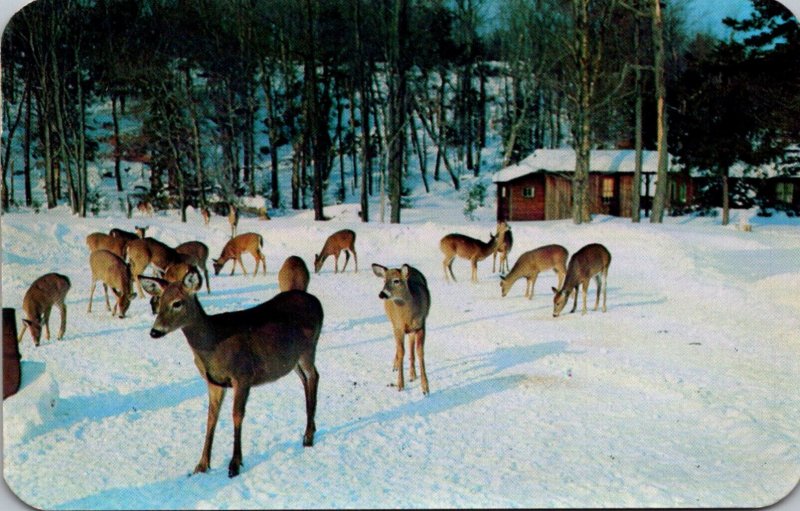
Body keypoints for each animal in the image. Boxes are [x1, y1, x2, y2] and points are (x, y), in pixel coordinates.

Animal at [139, 272, 324, 480]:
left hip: (308, 349)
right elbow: (211, 417)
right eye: (159, 301)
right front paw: (201, 465)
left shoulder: (243, 375)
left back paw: (308, 437)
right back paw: (309, 432)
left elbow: (237, 415)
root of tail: (316, 301)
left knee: (314, 376)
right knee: (306, 379)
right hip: (293, 360)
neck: (213, 344)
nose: (155, 331)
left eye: (177, 303)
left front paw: (234, 465)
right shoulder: (214, 381)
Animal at [370, 264, 428, 396]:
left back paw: (412, 374)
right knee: (399, 346)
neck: (407, 316)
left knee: (411, 344)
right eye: (384, 280)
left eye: (396, 280)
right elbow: (401, 351)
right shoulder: (398, 327)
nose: (382, 294)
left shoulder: (421, 325)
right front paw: (400, 384)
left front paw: (425, 387)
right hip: (393, 324)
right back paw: (396, 365)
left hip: (411, 329)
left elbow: (420, 352)